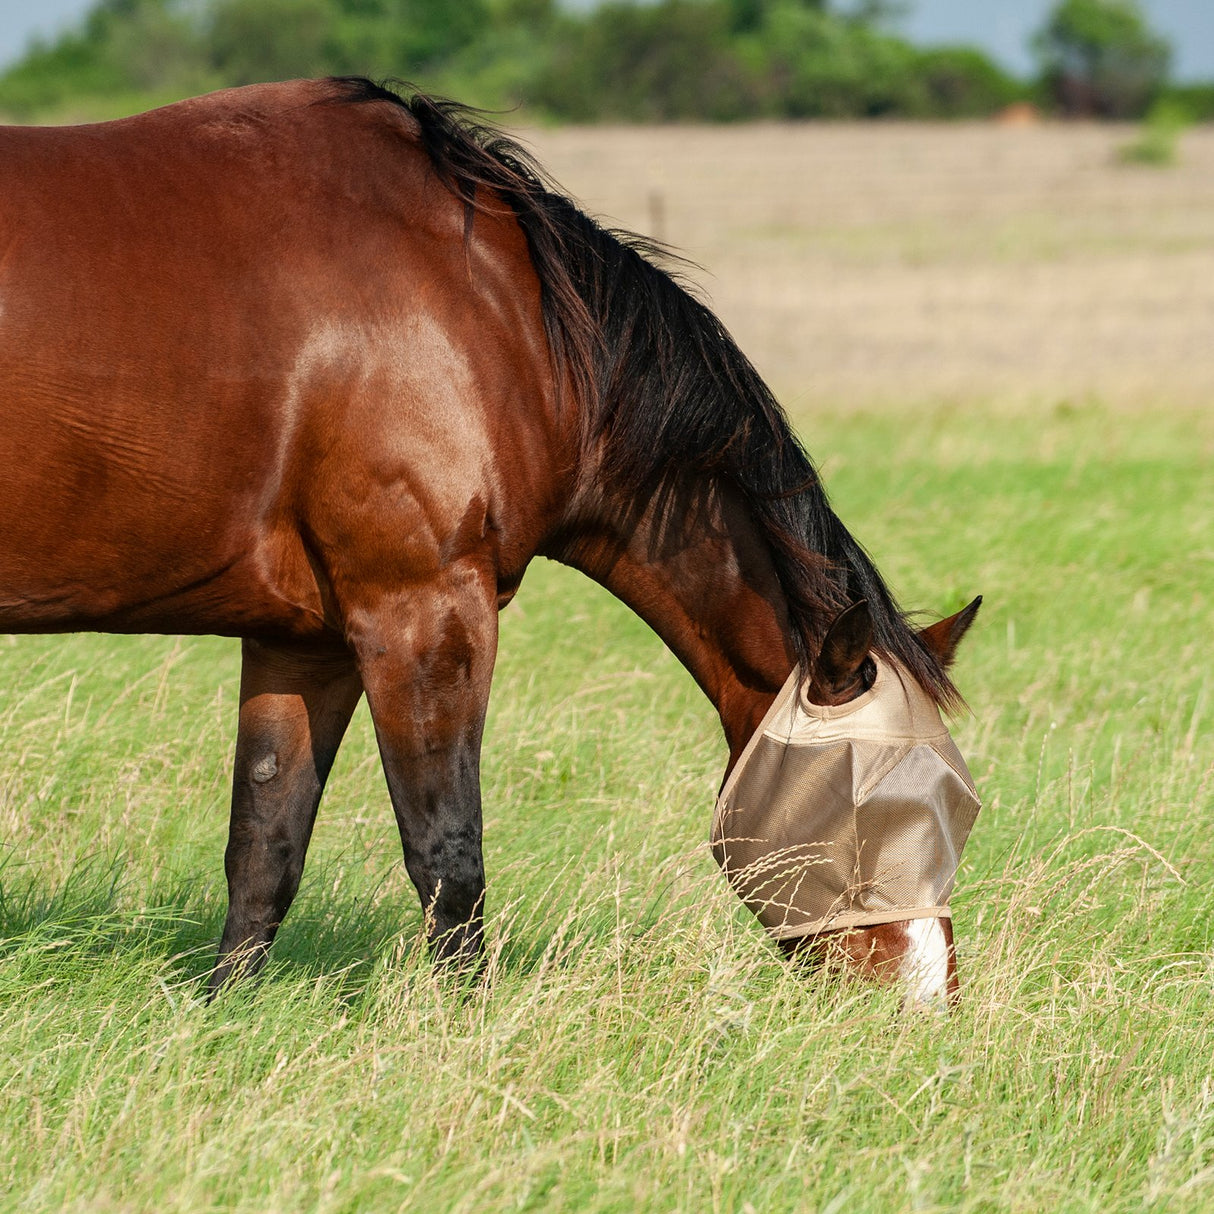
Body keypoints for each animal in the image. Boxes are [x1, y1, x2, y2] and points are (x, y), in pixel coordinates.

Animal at [0, 77, 979, 1006]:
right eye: (871, 801)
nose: (926, 1003)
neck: (496, 312)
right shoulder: (423, 613)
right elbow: (448, 855)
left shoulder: (302, 640)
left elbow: (264, 849)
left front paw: (221, 1016)